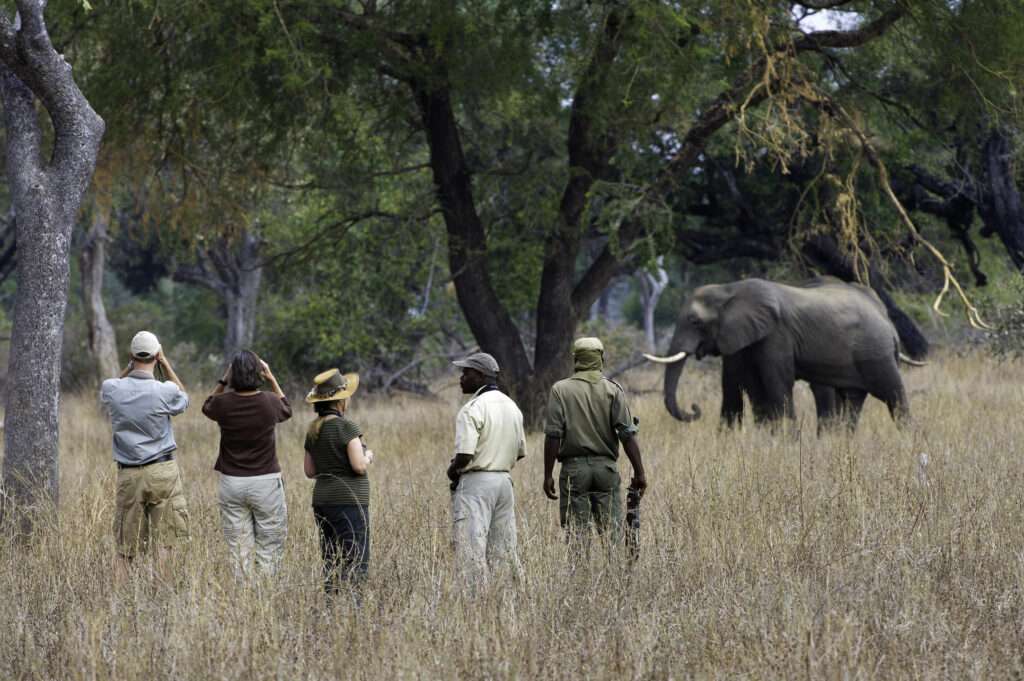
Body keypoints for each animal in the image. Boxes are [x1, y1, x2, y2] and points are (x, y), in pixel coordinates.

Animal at [643, 274, 917, 428]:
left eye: (695, 321)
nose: (694, 408)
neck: (729, 289)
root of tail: (886, 319)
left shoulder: (777, 335)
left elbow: (777, 383)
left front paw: (788, 441)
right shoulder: (747, 341)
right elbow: (754, 386)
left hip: (876, 351)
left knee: (894, 395)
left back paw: (908, 439)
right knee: (853, 400)